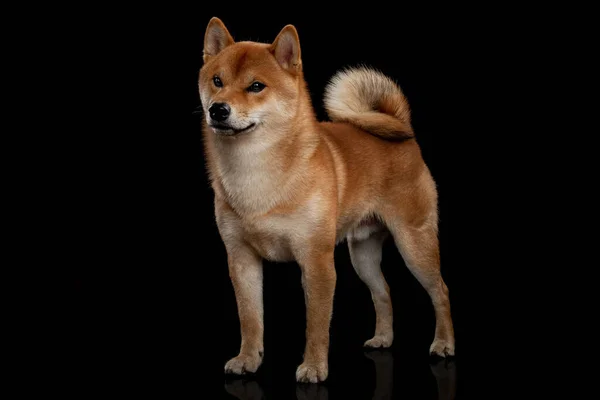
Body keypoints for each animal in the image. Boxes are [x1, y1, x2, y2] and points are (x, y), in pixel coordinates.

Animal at [199, 17, 458, 382]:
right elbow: (250, 319)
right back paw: (383, 338)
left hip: (414, 245)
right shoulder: (241, 259)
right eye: (217, 81)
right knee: (383, 292)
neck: (256, 173)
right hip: (363, 255)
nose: (217, 109)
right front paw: (247, 359)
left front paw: (313, 367)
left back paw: (444, 343)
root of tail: (403, 132)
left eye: (256, 86)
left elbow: (317, 324)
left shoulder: (316, 260)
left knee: (440, 291)